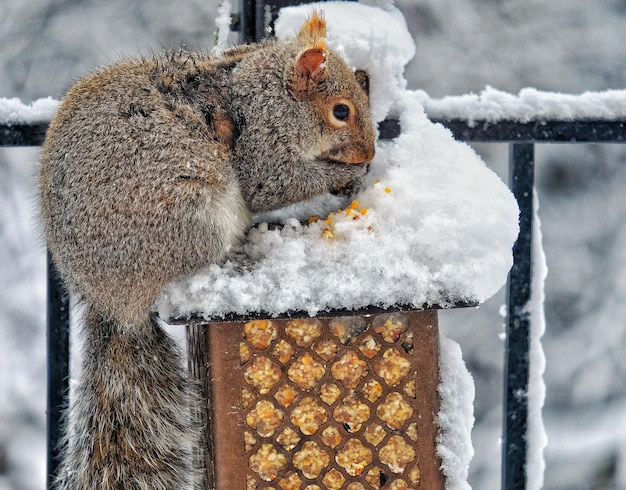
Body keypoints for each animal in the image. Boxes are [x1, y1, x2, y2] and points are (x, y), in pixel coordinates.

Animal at [39, 11, 372, 490]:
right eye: (341, 111)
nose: (369, 151)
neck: (263, 92)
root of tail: (115, 305)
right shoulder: (260, 150)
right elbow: (272, 185)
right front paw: (345, 174)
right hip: (195, 219)